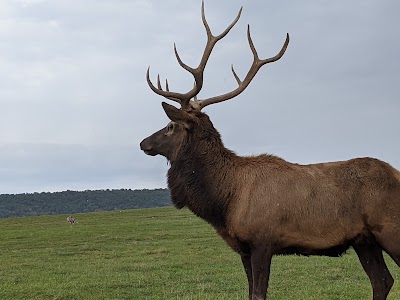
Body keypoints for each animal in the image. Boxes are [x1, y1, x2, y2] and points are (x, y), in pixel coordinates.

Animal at [139, 1, 398, 298]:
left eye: (171, 125)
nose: (143, 142)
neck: (225, 201)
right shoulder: (243, 248)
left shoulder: (262, 241)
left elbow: (259, 293)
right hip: (364, 240)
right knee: (382, 280)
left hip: (390, 228)